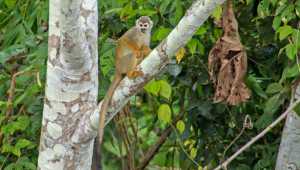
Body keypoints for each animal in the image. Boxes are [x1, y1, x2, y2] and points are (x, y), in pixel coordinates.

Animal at [98, 16, 154, 145]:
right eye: (140, 25)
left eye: (145, 25)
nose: (143, 28)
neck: (142, 34)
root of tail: (118, 68)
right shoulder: (133, 31)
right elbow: (124, 40)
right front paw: (136, 49)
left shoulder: (148, 35)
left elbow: (145, 46)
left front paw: (147, 50)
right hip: (123, 63)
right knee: (132, 55)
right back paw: (131, 72)